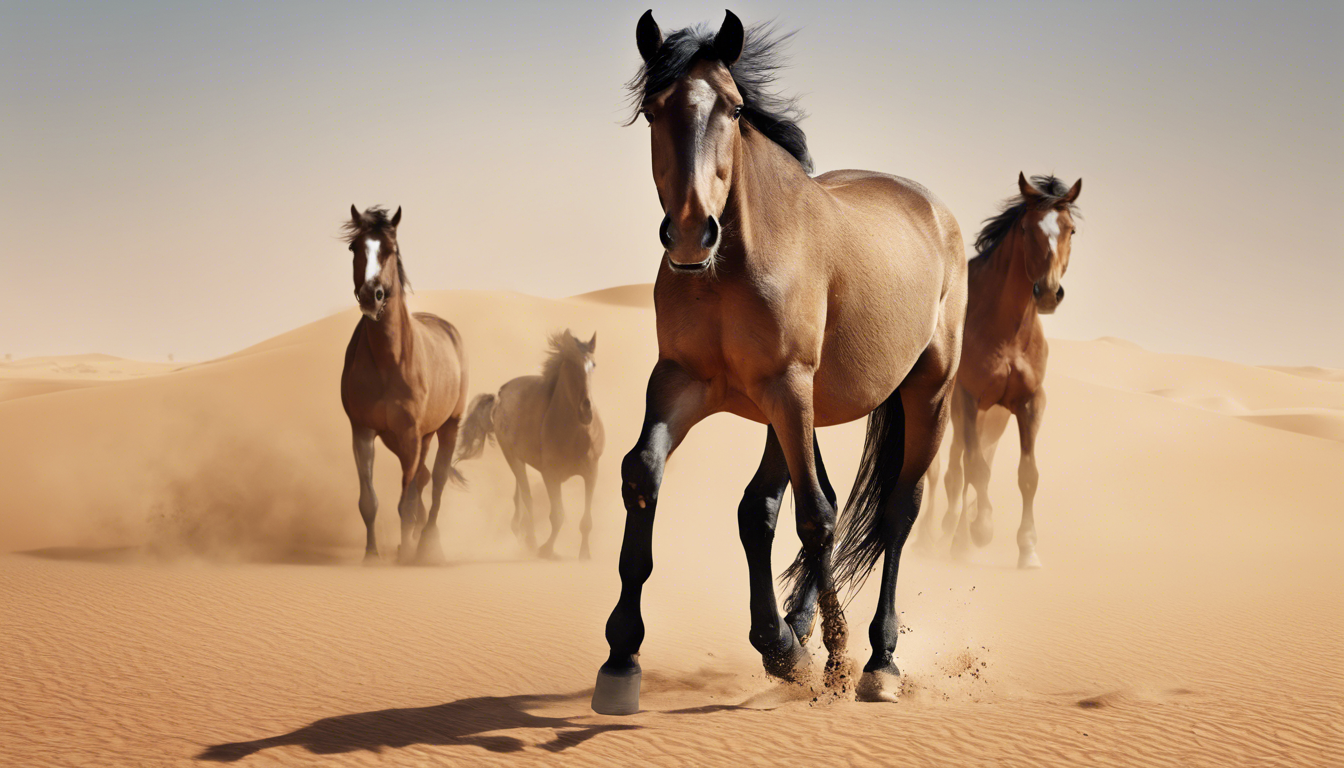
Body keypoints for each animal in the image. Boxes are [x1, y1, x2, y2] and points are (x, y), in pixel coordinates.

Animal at [339, 205, 469, 565]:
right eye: (354, 248)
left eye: (391, 250)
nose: (371, 296)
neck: (389, 361)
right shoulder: (364, 431)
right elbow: (369, 500)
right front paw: (372, 555)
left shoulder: (410, 434)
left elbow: (406, 500)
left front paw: (407, 553)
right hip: (405, 438)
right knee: (423, 478)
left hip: (446, 427)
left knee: (435, 481)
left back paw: (426, 545)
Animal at [456, 330, 604, 560]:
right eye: (571, 365)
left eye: (593, 364)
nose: (586, 410)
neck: (575, 434)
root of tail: (500, 395)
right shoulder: (550, 476)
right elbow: (557, 516)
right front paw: (546, 550)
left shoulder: (591, 473)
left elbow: (586, 521)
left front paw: (584, 555)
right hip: (512, 458)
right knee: (527, 498)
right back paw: (531, 541)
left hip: (520, 459)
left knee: (519, 497)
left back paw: (521, 532)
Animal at [591, 11, 968, 714]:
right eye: (654, 110)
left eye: (735, 108)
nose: (692, 233)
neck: (730, 265)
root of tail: (933, 209)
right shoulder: (681, 381)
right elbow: (644, 475)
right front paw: (622, 656)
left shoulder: (788, 388)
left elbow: (815, 517)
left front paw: (835, 659)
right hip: (785, 412)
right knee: (769, 507)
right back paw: (790, 633)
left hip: (920, 395)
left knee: (895, 513)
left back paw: (877, 661)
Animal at [915, 174, 1081, 569]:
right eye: (1026, 228)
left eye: (1071, 230)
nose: (1048, 292)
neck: (1008, 330)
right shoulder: (969, 398)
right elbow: (975, 469)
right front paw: (981, 530)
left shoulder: (1028, 403)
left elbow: (1026, 474)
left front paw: (1028, 549)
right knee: (940, 470)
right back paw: (932, 537)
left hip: (989, 419)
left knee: (957, 471)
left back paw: (955, 535)